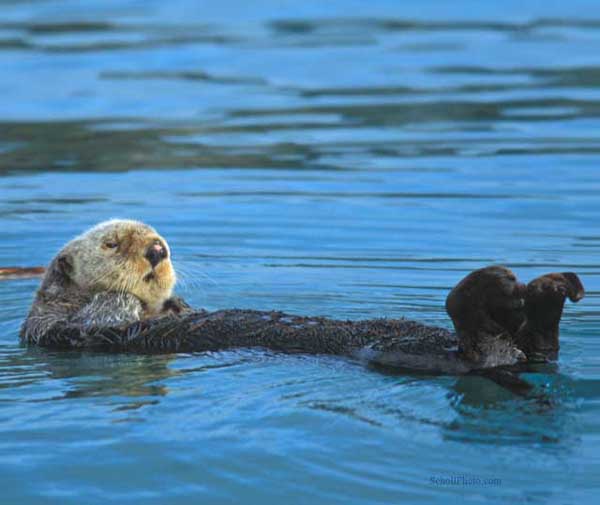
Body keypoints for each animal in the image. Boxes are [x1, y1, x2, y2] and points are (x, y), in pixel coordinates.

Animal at [19, 219, 584, 376]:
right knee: (480, 345)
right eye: (112, 244)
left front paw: (176, 305)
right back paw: (504, 289)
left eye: (159, 237)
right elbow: (107, 313)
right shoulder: (63, 327)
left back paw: (549, 292)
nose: (158, 249)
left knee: (536, 349)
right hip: (413, 353)